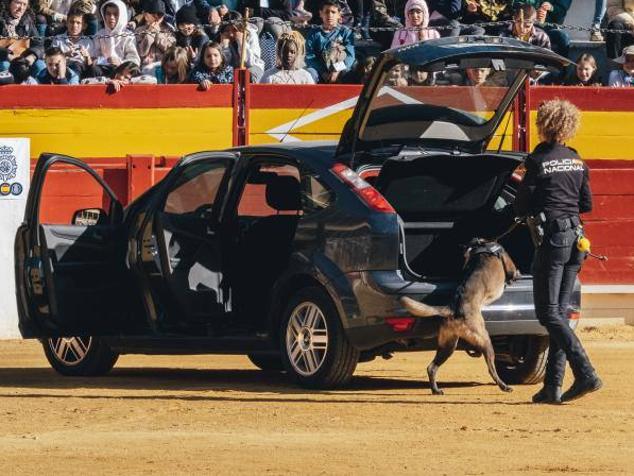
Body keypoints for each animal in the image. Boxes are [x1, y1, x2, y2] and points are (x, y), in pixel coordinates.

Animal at [400, 238, 520, 394]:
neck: (482, 246)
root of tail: (454, 308)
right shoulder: (509, 265)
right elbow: (513, 273)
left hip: (448, 345)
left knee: (432, 367)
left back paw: (436, 390)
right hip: (484, 339)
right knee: (491, 368)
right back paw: (504, 386)